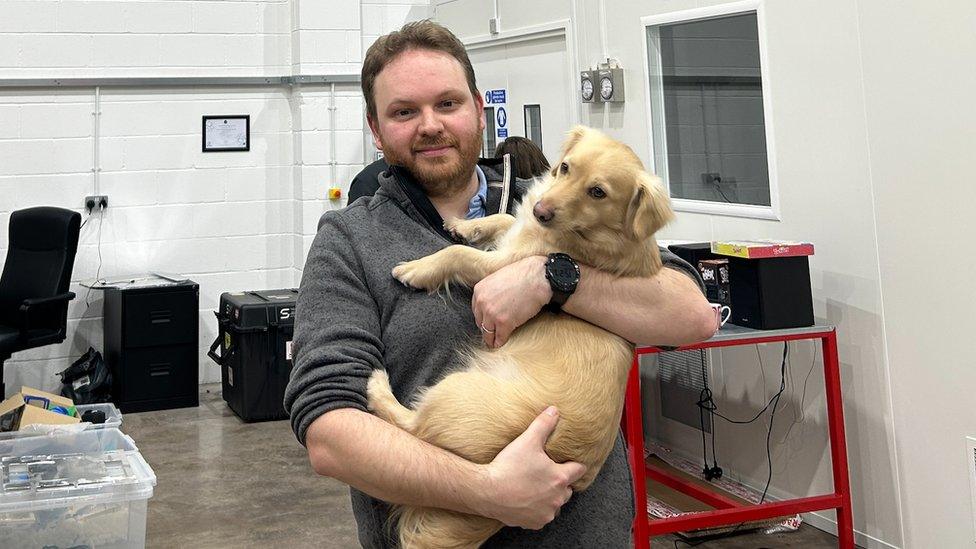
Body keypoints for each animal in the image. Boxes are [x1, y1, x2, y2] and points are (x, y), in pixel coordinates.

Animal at [364, 126, 672, 544]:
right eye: (564, 168)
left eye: (598, 192)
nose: (542, 211)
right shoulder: (514, 233)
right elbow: (500, 219)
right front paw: (465, 224)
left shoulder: (502, 266)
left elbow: (459, 254)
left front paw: (419, 268)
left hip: (456, 392)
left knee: (411, 426)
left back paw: (378, 385)